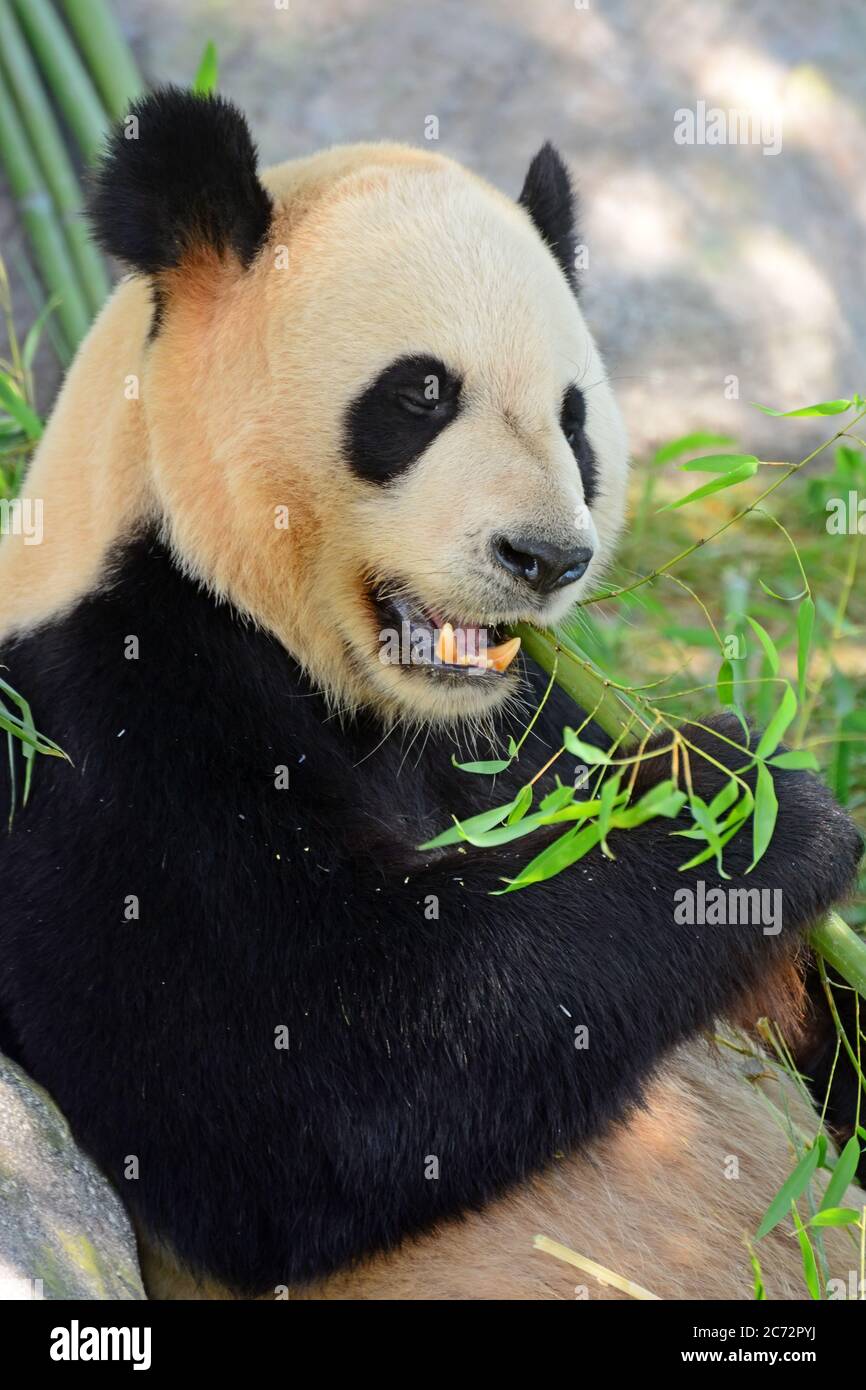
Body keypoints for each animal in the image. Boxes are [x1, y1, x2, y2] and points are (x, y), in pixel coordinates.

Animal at [0, 88, 862, 1301]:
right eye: (420, 393)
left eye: (573, 418)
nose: (545, 559)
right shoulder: (98, 726)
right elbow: (304, 1076)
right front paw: (748, 798)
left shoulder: (528, 728)